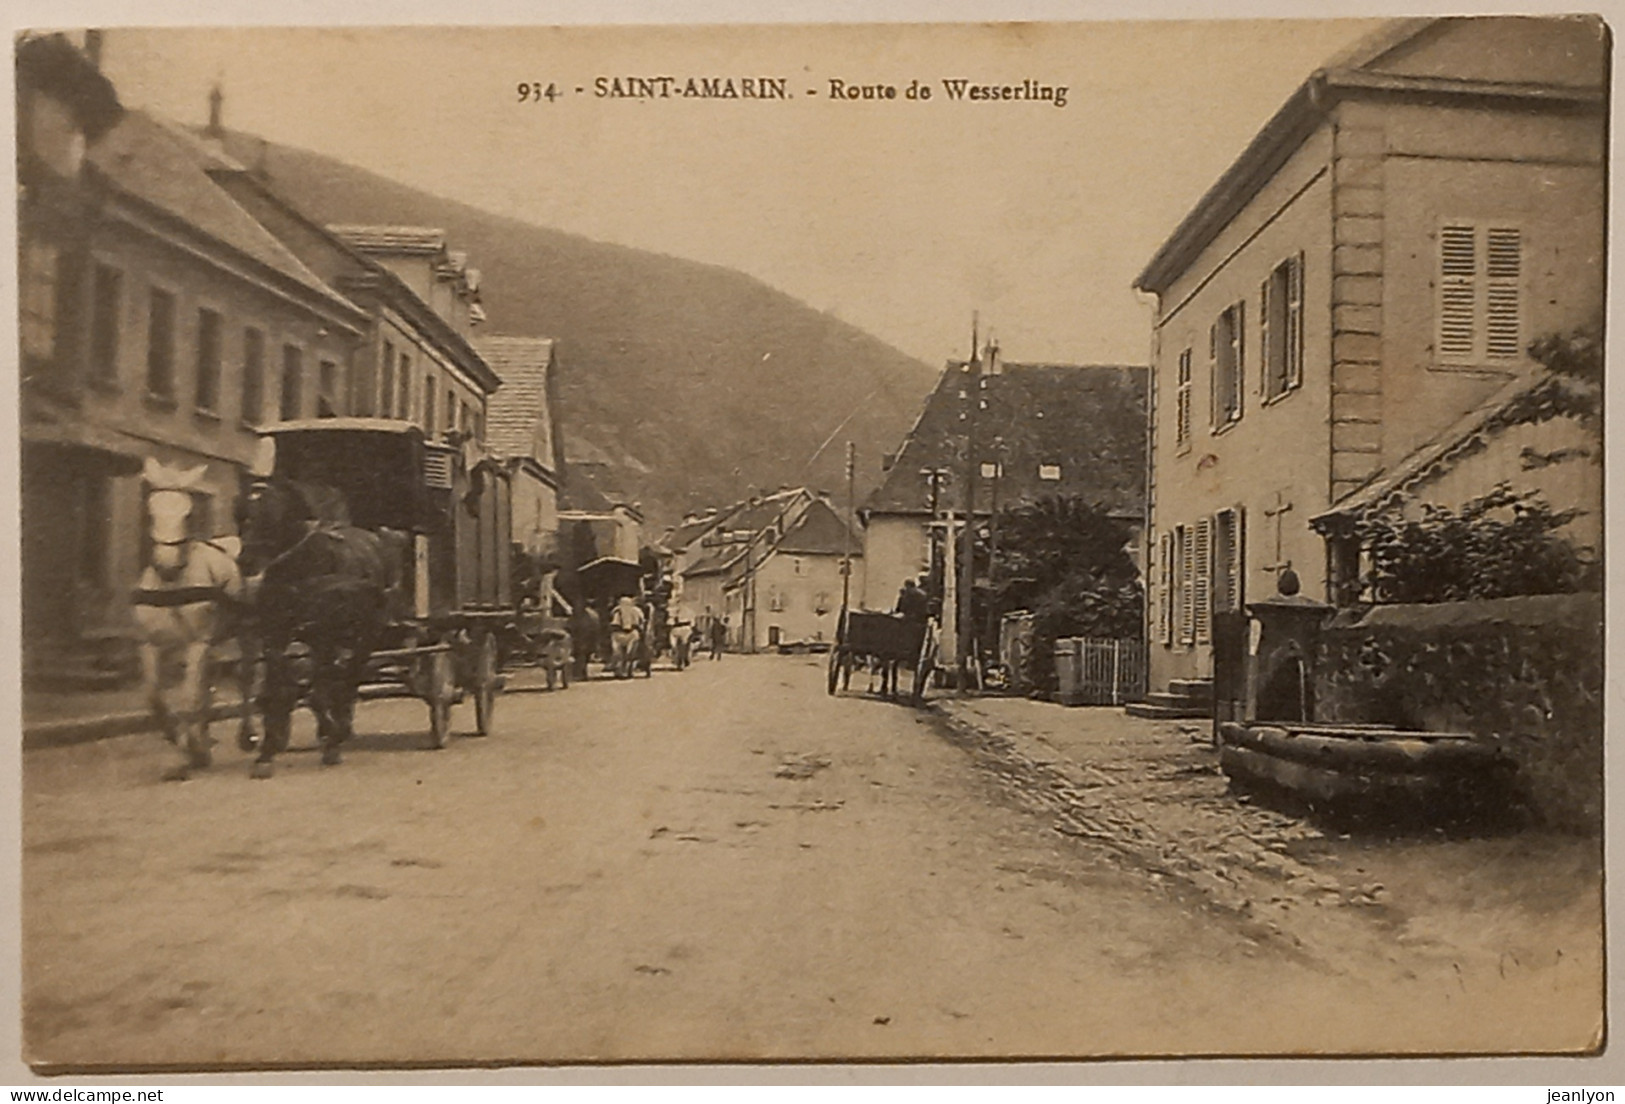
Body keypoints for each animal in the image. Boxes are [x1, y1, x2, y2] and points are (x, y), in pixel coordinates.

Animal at [136, 458, 245, 786]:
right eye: (150, 511)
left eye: (188, 513)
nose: (167, 566)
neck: (172, 587)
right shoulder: (150, 644)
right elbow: (155, 697)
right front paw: (183, 744)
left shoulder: (198, 643)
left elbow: (188, 698)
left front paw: (183, 757)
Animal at [237, 478, 409, 780]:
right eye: (243, 514)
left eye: (271, 514)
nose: (245, 561)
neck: (302, 567)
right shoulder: (276, 634)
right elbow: (281, 689)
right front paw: (266, 753)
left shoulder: (324, 636)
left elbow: (319, 692)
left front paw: (331, 738)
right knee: (340, 680)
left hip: (367, 633)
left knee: (350, 676)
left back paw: (338, 730)